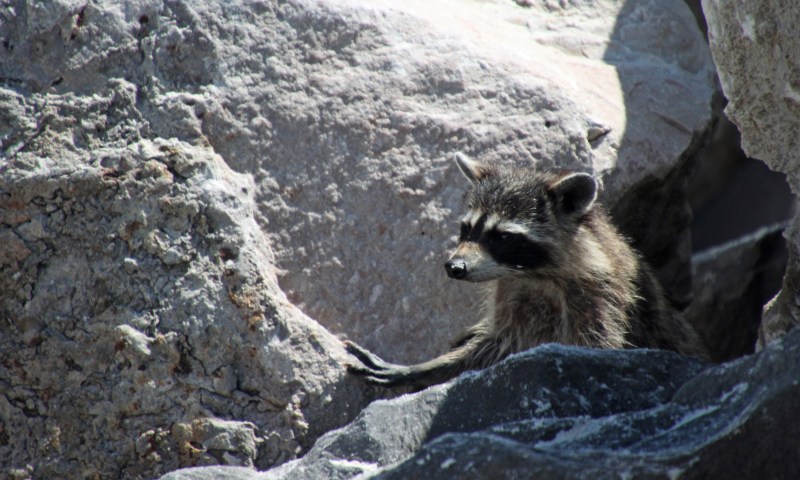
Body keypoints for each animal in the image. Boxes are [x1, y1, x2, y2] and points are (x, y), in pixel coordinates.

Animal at [345, 153, 708, 389]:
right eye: (466, 229)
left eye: (502, 236)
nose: (454, 267)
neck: (534, 275)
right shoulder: (512, 294)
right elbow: (492, 344)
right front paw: (424, 367)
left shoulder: (601, 297)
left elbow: (596, 346)